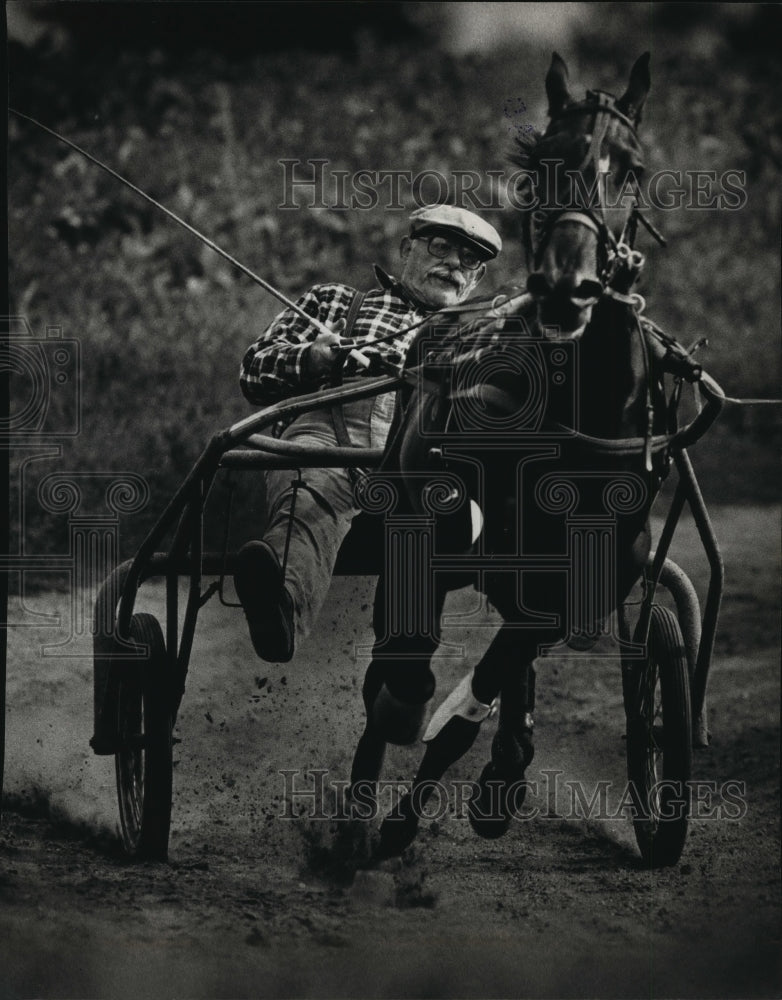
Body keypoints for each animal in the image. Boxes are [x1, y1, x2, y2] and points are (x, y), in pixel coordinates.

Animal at [350, 50, 680, 856]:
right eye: (545, 164)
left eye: (631, 169)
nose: (567, 286)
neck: (577, 414)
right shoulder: (441, 511)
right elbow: (409, 655)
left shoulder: (600, 565)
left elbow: (510, 660)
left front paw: (485, 775)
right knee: (397, 643)